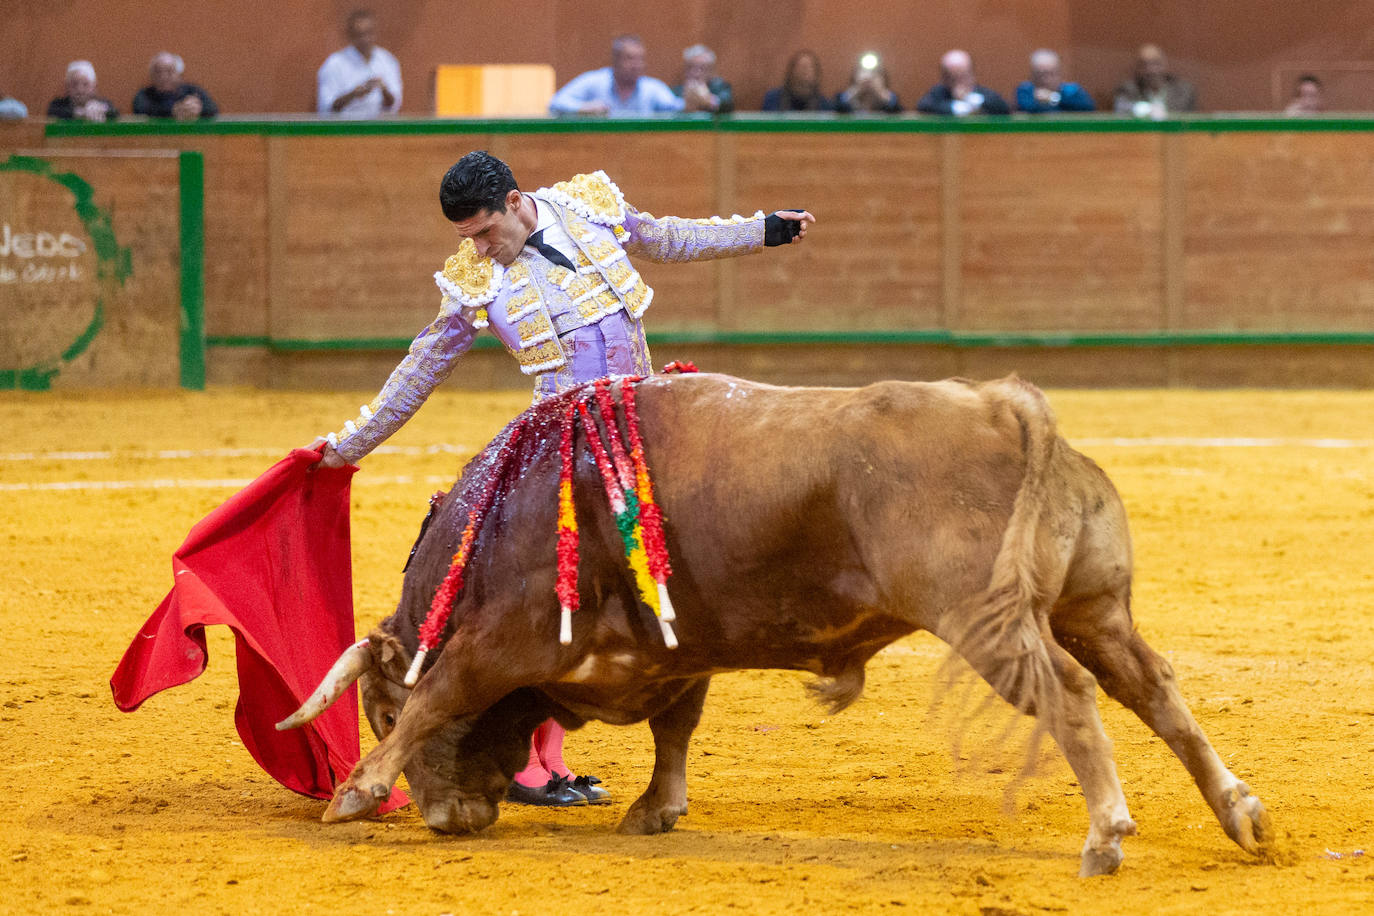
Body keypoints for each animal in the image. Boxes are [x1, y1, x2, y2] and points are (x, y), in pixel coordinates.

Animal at [281, 373, 1275, 878]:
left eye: (373, 708)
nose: (451, 819)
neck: (505, 516)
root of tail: (1008, 403)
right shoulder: (679, 649)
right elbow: (679, 727)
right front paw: (656, 810)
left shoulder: (506, 638)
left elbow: (440, 694)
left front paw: (356, 792)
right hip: (1092, 610)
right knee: (1154, 689)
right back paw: (1242, 814)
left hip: (988, 622)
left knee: (1070, 696)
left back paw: (1105, 834)